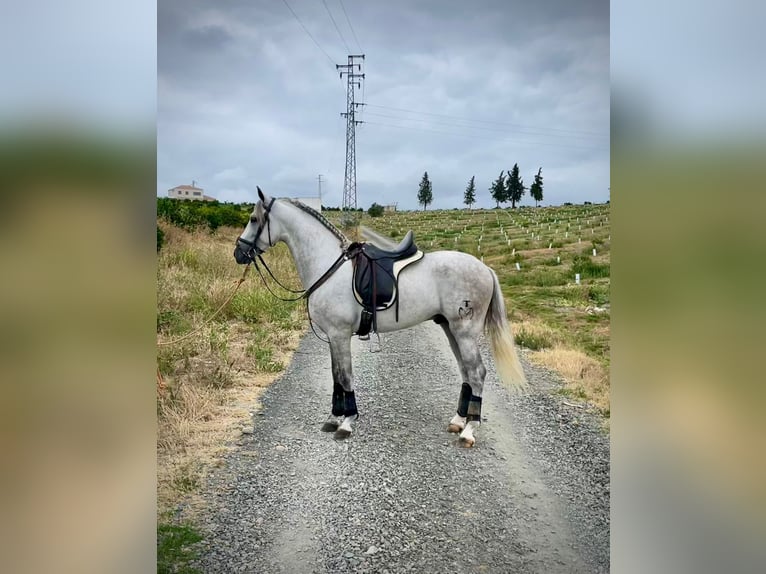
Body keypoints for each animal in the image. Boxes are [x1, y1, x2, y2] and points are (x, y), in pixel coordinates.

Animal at [234, 189, 528, 450]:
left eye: (253, 219)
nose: (239, 253)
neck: (329, 266)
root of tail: (485, 268)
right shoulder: (332, 337)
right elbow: (336, 377)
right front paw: (333, 418)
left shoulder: (339, 334)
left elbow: (345, 377)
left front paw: (346, 422)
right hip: (450, 329)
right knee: (466, 372)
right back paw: (458, 421)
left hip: (464, 331)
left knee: (477, 372)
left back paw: (469, 430)